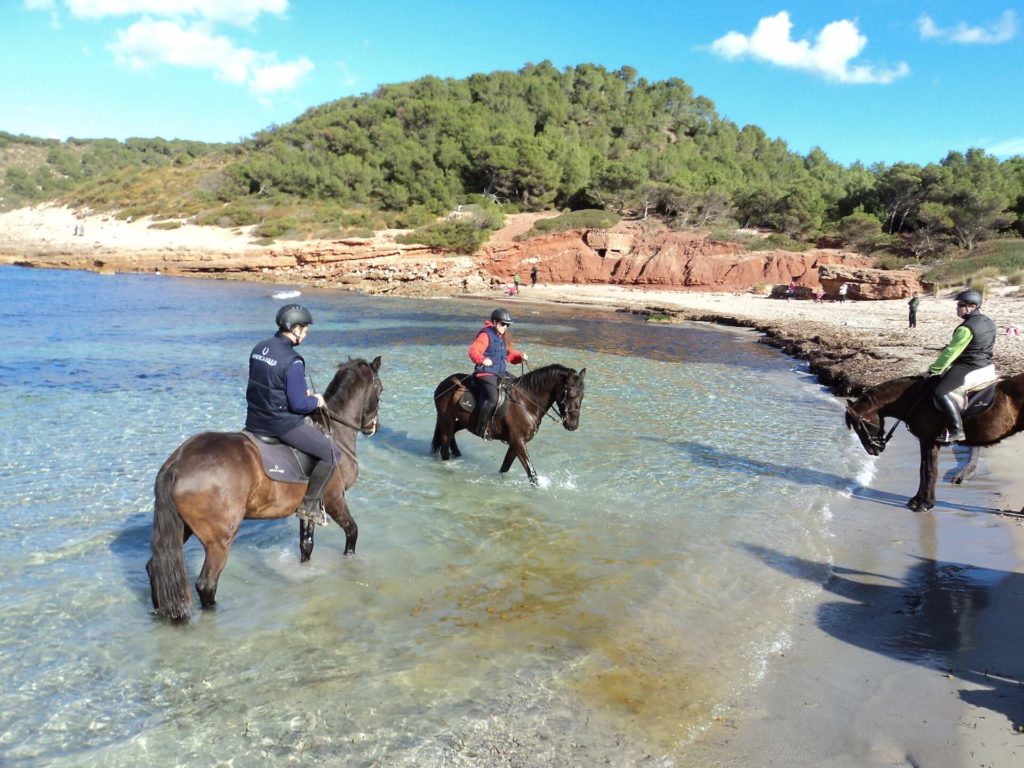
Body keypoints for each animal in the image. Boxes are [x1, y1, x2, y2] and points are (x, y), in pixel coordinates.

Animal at [146, 358, 382, 622]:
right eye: (380, 390)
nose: (373, 427)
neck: (334, 434)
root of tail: (176, 463)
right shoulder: (334, 499)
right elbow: (352, 531)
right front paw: (350, 561)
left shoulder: (310, 505)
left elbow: (307, 545)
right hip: (219, 540)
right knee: (206, 584)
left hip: (183, 526)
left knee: (154, 567)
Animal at [430, 364, 589, 483]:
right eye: (570, 394)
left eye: (582, 395)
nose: (573, 425)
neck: (526, 402)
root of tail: (445, 383)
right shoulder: (518, 442)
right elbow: (532, 474)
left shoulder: (516, 442)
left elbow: (505, 467)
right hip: (446, 419)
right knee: (445, 448)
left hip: (461, 422)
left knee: (452, 434)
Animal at [839, 370, 1024, 512]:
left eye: (859, 426)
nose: (872, 450)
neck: (915, 398)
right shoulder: (925, 441)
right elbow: (923, 469)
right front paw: (917, 500)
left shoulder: (928, 441)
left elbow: (929, 470)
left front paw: (924, 504)